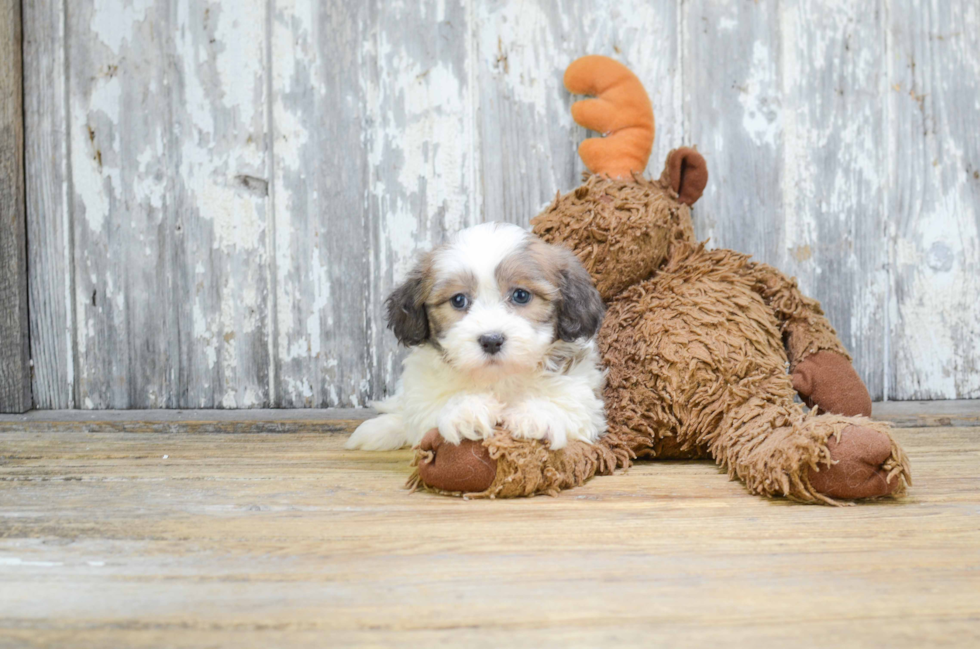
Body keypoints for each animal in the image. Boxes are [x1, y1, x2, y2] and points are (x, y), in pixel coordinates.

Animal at [344, 221, 604, 450]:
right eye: (459, 300)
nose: (491, 340)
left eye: (521, 295)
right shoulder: (423, 394)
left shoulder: (580, 394)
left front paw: (536, 416)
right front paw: (466, 410)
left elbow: (568, 405)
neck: (498, 378)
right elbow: (428, 410)